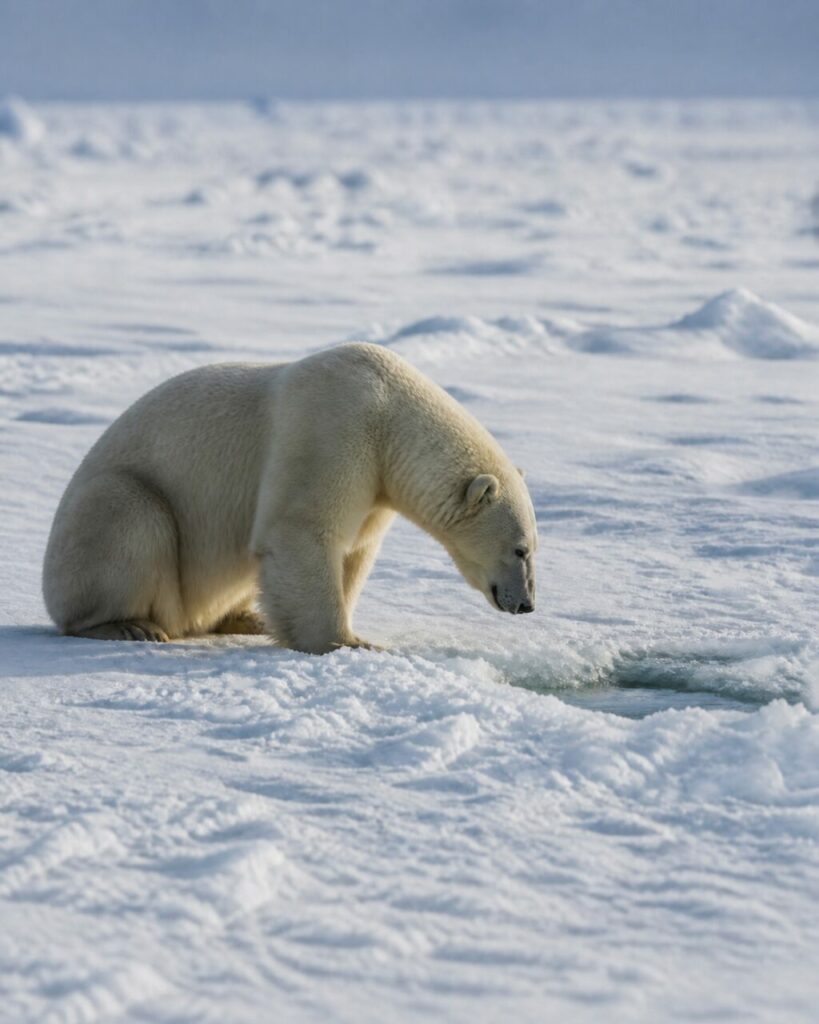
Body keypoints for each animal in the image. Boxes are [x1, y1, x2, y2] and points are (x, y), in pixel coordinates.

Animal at [43, 343, 537, 654]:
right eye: (521, 549)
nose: (527, 604)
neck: (389, 415)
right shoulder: (333, 428)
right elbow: (302, 530)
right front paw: (349, 642)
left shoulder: (375, 487)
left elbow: (354, 551)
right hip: (114, 506)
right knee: (130, 518)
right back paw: (129, 625)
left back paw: (248, 619)